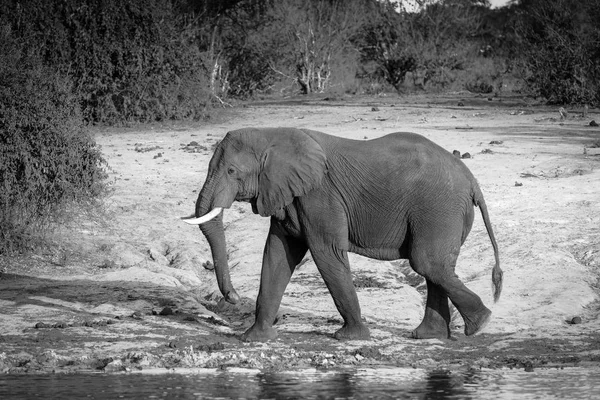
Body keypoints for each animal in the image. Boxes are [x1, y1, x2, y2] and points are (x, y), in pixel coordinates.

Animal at [183, 127, 502, 340]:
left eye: (232, 171)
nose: (233, 297)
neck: (273, 134)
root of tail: (471, 179)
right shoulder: (289, 196)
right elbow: (276, 255)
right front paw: (254, 338)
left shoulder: (320, 195)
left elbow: (326, 252)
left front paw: (351, 338)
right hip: (443, 211)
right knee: (434, 266)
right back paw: (430, 335)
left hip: (438, 208)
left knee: (426, 263)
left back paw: (480, 324)